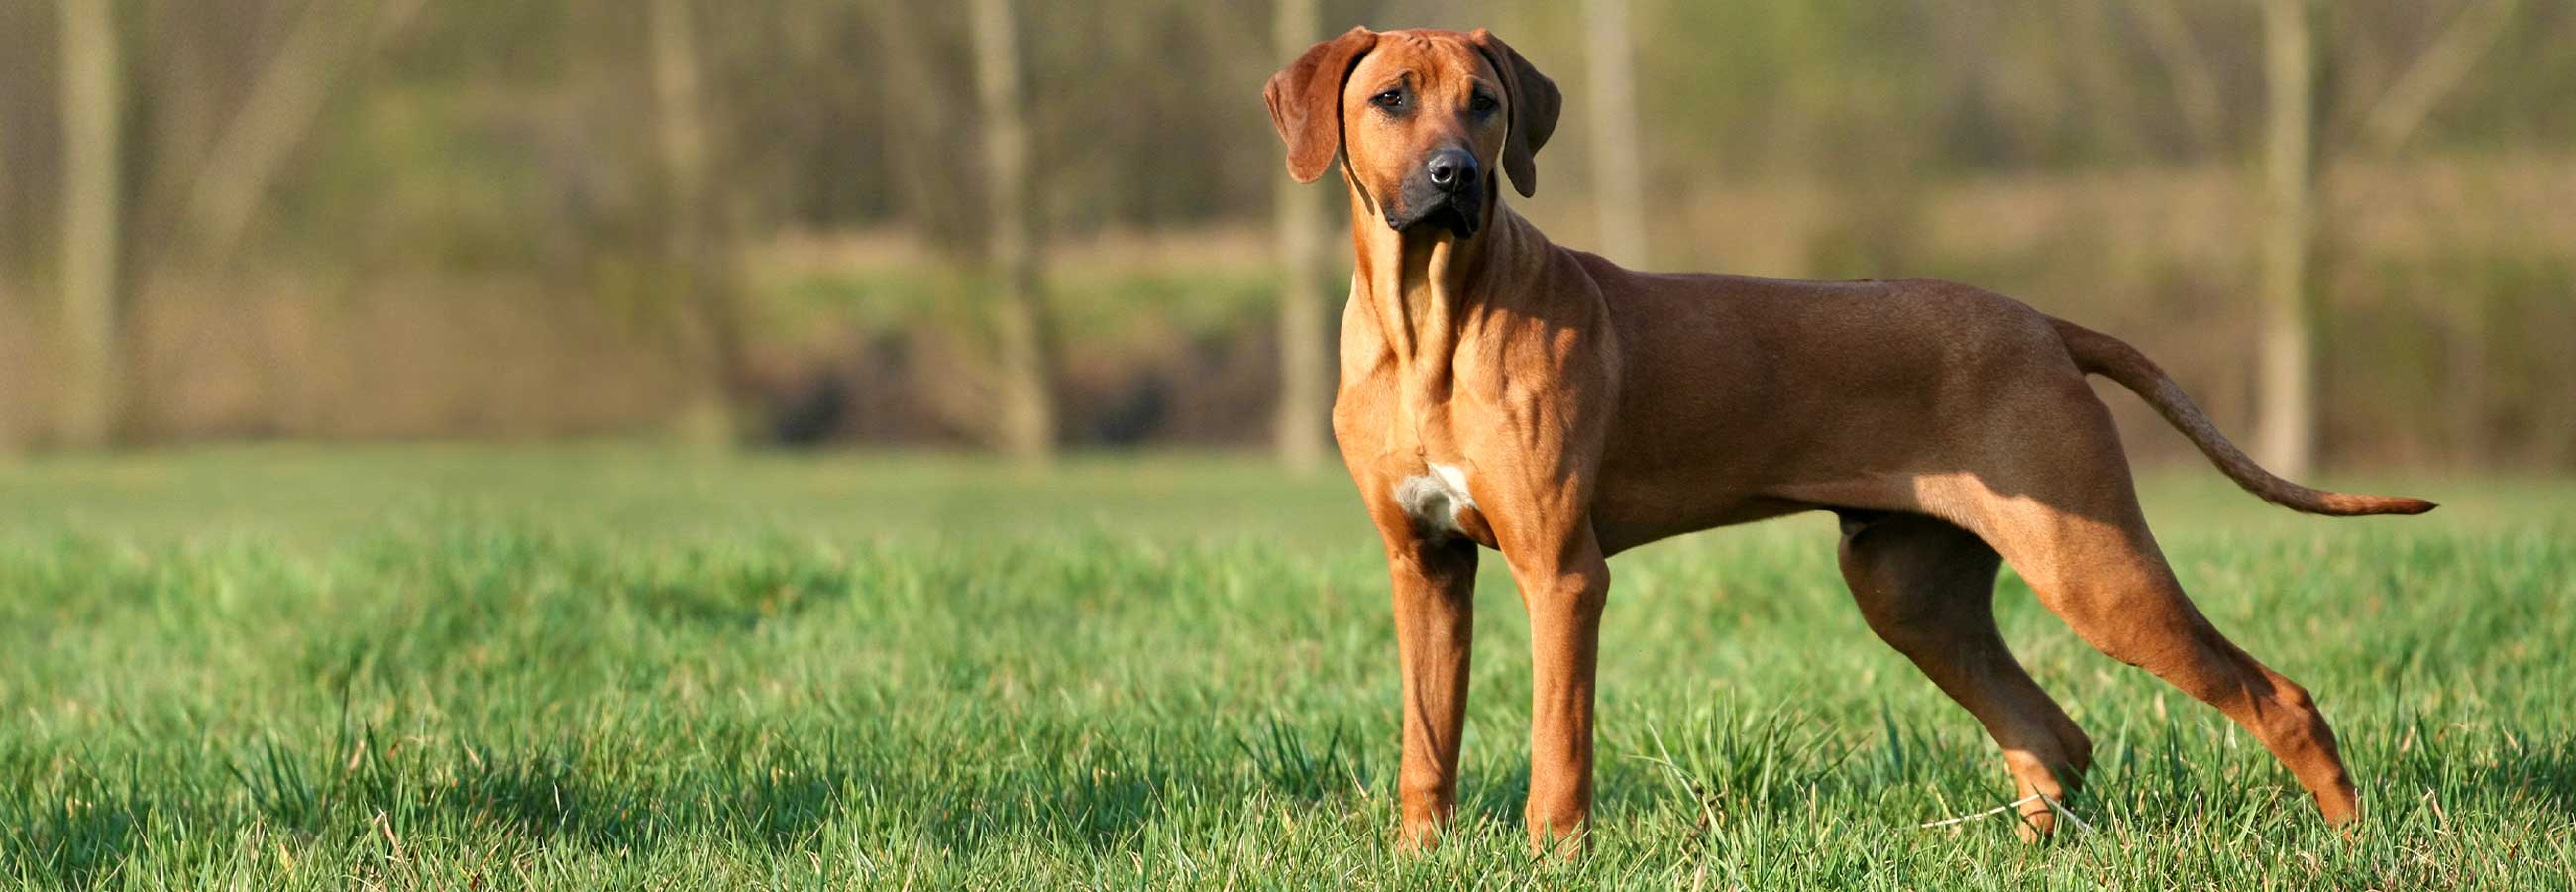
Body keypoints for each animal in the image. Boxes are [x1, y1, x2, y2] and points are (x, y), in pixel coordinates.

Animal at [1267, 24, 2431, 855]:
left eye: (1486, 104)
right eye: (1390, 99)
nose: (1456, 175)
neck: (1430, 320)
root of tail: (2043, 324)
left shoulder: (1562, 571)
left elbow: (1558, 747)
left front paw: (1552, 859)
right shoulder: (1423, 563)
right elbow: (1427, 741)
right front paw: (1419, 855)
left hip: (2091, 568)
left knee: (2276, 699)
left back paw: (2354, 845)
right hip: (1909, 588)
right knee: (2051, 735)